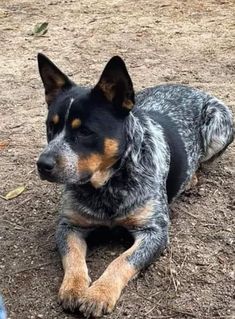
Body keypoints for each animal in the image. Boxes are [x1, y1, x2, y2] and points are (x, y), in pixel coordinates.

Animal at [36, 53, 233, 318]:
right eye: (51, 126)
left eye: (85, 131)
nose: (42, 164)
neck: (108, 184)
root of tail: (191, 89)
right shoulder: (69, 225)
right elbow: (74, 258)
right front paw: (74, 287)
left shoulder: (154, 231)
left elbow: (121, 261)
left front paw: (99, 293)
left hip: (220, 125)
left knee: (204, 161)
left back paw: (191, 178)